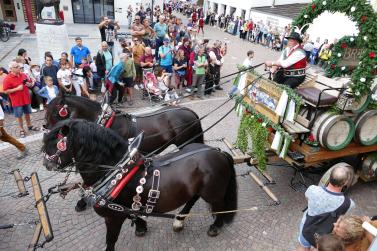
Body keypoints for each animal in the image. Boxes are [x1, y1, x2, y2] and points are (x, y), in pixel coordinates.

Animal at [42, 120, 236, 251]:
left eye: (55, 144)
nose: (46, 164)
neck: (117, 173)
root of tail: (217, 152)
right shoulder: (123, 208)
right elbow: (132, 215)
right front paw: (141, 225)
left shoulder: (112, 217)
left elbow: (111, 241)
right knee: (193, 198)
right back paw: (179, 220)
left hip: (213, 192)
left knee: (220, 205)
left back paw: (215, 226)